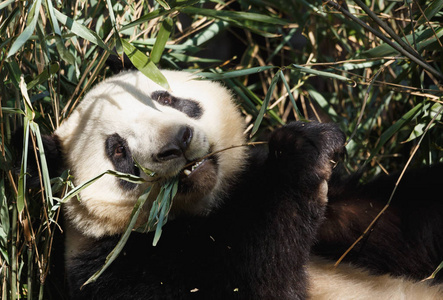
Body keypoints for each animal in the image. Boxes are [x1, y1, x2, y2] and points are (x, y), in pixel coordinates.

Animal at [29, 69, 442, 298]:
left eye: (165, 97)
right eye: (117, 150)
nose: (179, 140)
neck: (207, 210)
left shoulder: (343, 225)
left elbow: (406, 225)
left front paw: (319, 141)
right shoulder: (115, 268)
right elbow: (261, 282)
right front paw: (302, 153)